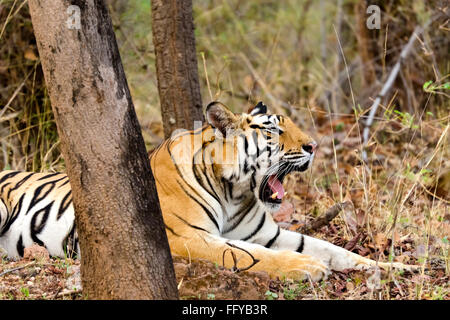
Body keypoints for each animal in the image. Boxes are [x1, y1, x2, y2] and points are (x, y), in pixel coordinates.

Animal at [0, 102, 414, 280]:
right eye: (274, 131)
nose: (314, 146)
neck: (235, 192)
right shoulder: (187, 237)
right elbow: (250, 256)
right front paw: (306, 268)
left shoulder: (271, 233)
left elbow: (337, 250)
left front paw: (397, 267)